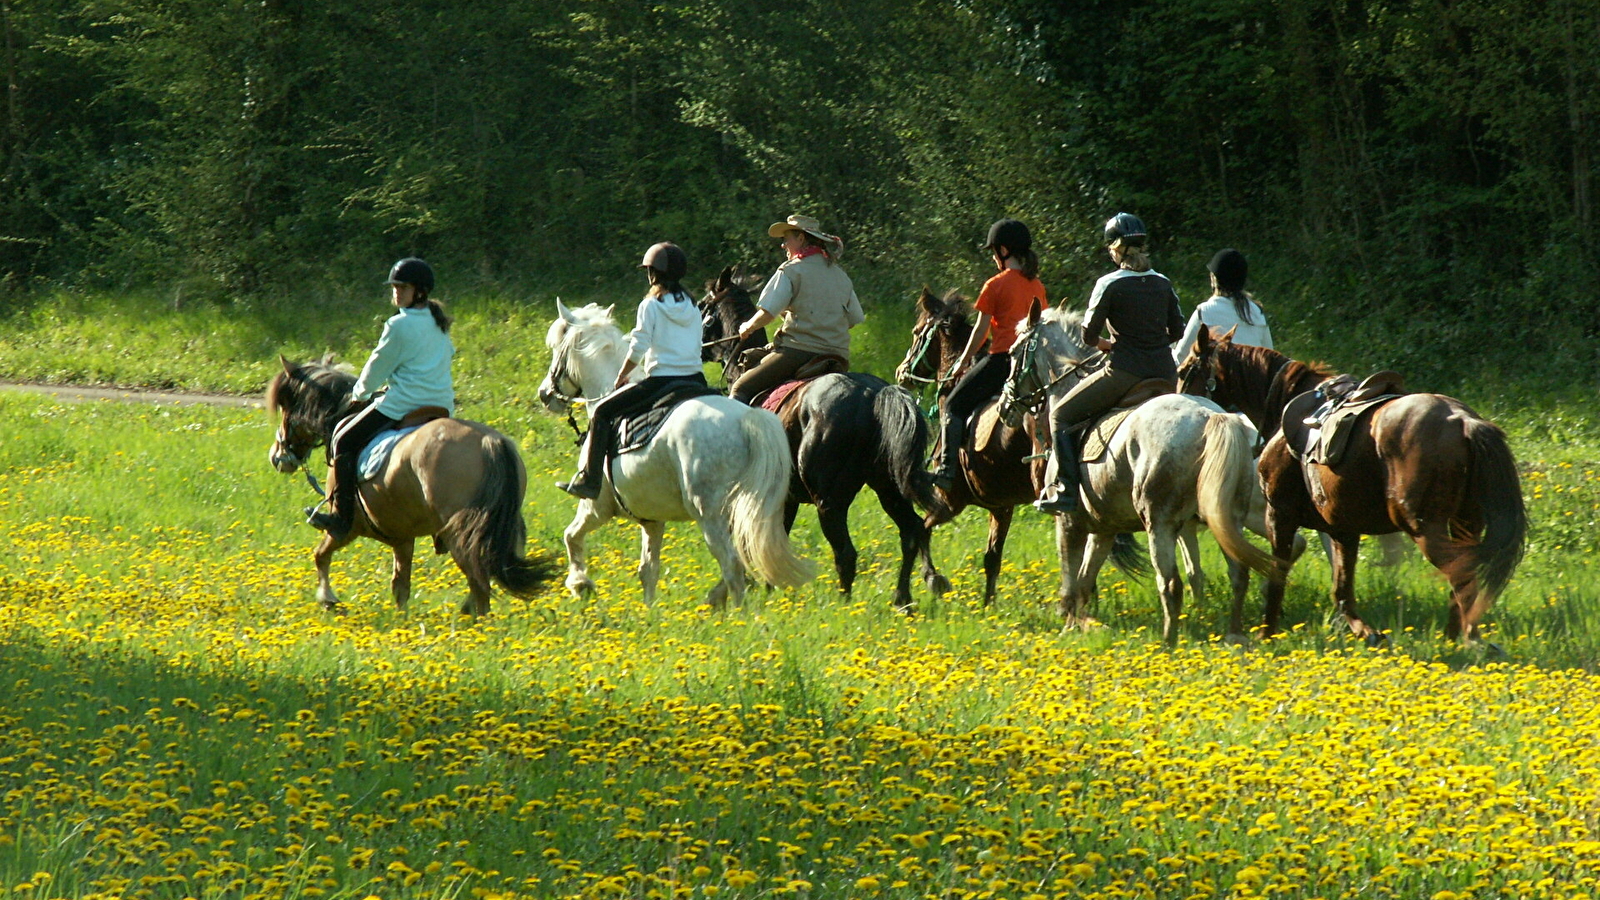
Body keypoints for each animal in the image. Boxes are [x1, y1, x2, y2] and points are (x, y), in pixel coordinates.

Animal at [267, 353, 556, 611]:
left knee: (480, 586)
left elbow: (321, 555)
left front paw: (328, 599)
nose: (277, 457)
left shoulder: (348, 528)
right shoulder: (402, 537)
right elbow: (400, 586)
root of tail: (489, 442)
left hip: (460, 534)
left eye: (286, 406)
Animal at [537, 299, 812, 602]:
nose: (545, 395)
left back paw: (736, 612)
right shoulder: (651, 520)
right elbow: (648, 570)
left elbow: (571, 535)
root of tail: (748, 420)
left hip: (711, 516)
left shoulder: (596, 507)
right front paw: (649, 610)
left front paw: (580, 584)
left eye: (556, 349)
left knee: (733, 566)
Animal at [700, 264, 947, 602]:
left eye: (702, 306)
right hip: (888, 487)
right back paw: (903, 599)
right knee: (911, 531)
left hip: (829, 501)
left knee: (846, 554)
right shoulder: (785, 498)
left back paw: (843, 605)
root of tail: (873, 395)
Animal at [998, 304, 1286, 640]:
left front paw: (1068, 627)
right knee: (1239, 572)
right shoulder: (1103, 528)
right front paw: (1081, 625)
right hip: (1226, 518)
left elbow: (1070, 581)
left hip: (1159, 522)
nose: (1005, 407)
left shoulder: (1068, 523)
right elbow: (1084, 579)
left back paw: (1169, 642)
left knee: (1171, 583)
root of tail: (1211, 416)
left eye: (1013, 353)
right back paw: (1234, 636)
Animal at [1184, 325, 1529, 640]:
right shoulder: (1343, 529)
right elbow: (1342, 589)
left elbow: (1279, 574)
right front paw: (1365, 631)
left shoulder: (1280, 515)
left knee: (1461, 573)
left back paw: (1463, 639)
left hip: (1425, 528)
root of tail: (1464, 421)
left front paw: (1267, 632)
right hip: (1466, 523)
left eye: (1187, 369)